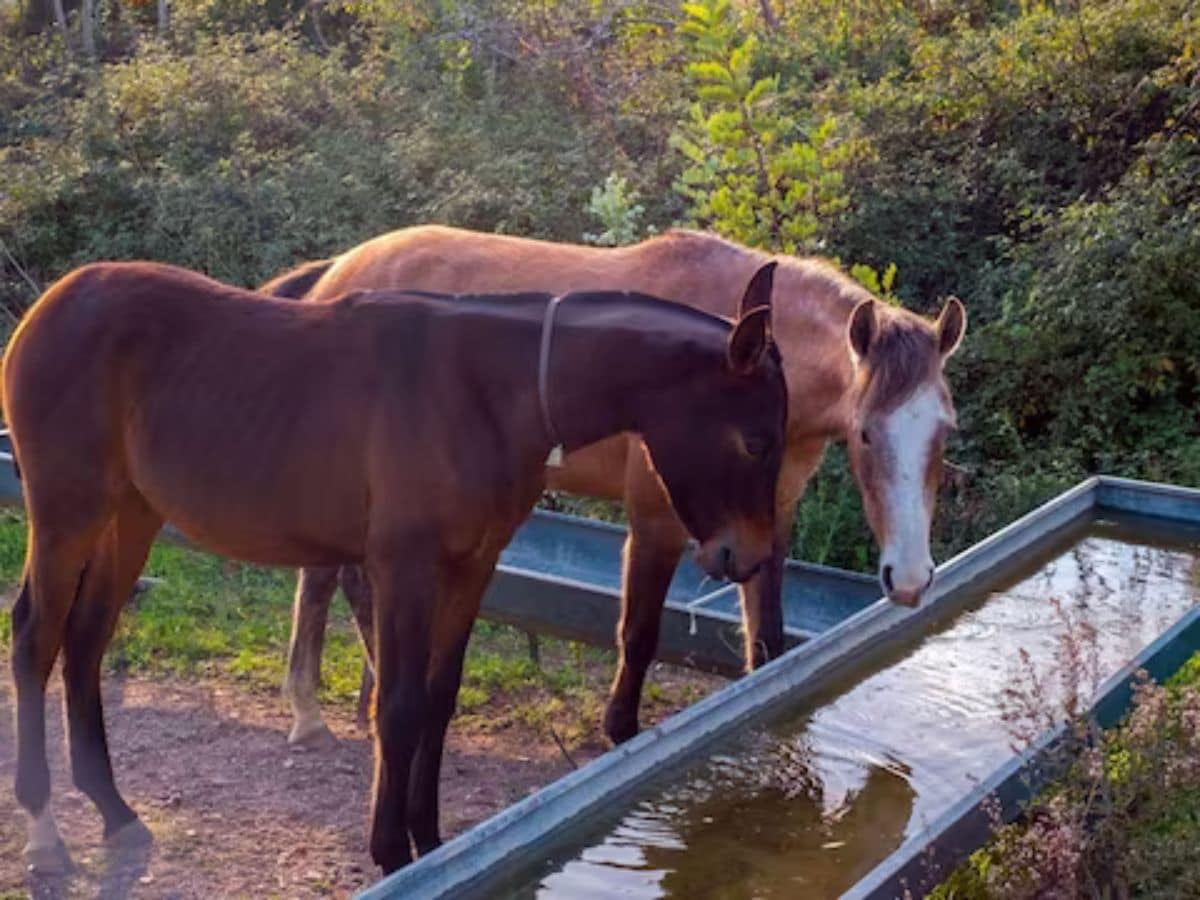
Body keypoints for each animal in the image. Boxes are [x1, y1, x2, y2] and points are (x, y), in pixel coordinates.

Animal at [4, 260, 787, 875]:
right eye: (754, 440)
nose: (744, 557)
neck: (486, 391)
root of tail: (53, 303)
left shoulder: (471, 569)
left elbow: (438, 700)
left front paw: (430, 839)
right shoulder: (403, 570)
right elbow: (399, 705)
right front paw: (390, 850)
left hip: (130, 514)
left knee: (86, 640)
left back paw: (113, 811)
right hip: (68, 512)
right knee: (38, 638)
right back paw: (46, 836)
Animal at [264, 226, 967, 747]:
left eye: (945, 431)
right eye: (867, 434)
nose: (909, 580)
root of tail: (337, 271)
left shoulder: (770, 520)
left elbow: (767, 638)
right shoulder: (657, 521)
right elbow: (638, 633)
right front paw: (620, 730)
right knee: (322, 582)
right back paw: (313, 714)